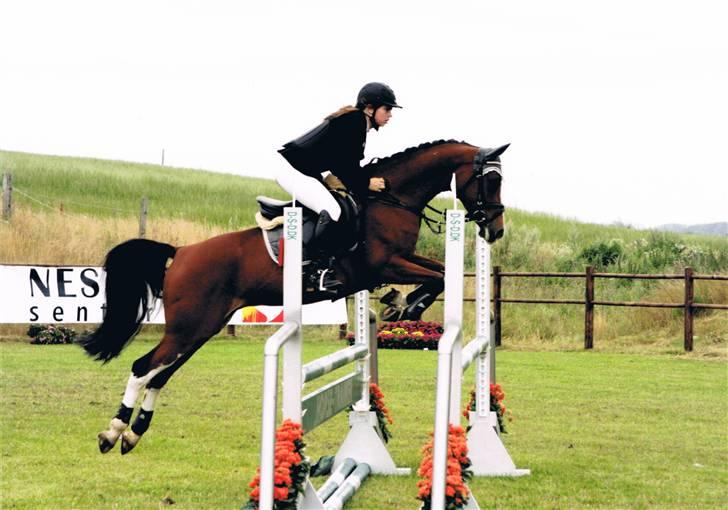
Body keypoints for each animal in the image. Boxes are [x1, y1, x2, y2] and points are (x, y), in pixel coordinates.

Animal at [79, 140, 508, 454]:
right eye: (490, 182)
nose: (497, 229)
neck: (392, 200)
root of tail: (181, 252)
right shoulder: (385, 264)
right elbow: (438, 277)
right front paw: (406, 304)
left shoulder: (402, 259)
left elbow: (440, 272)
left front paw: (401, 303)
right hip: (188, 328)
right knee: (142, 367)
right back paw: (112, 432)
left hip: (202, 328)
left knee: (161, 374)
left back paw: (133, 434)